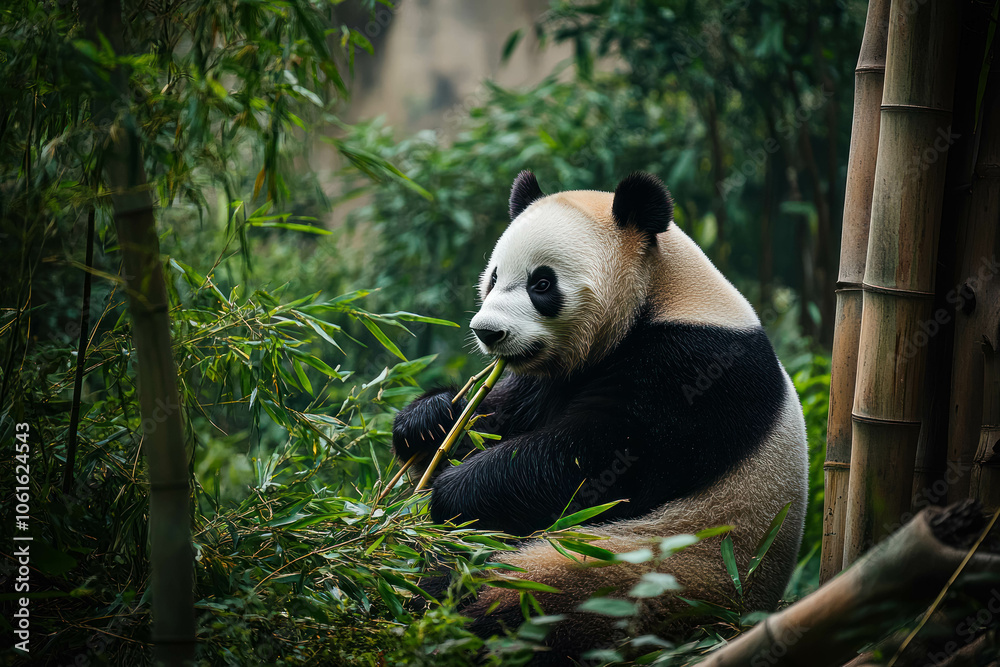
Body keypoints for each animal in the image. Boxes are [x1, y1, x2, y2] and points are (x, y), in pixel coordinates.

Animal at [392, 171, 808, 663]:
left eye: (542, 284)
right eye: (493, 277)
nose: (488, 332)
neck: (662, 294)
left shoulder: (698, 372)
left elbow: (601, 458)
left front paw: (454, 490)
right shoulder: (553, 377)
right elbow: (504, 414)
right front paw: (428, 420)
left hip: (640, 571)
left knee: (507, 597)